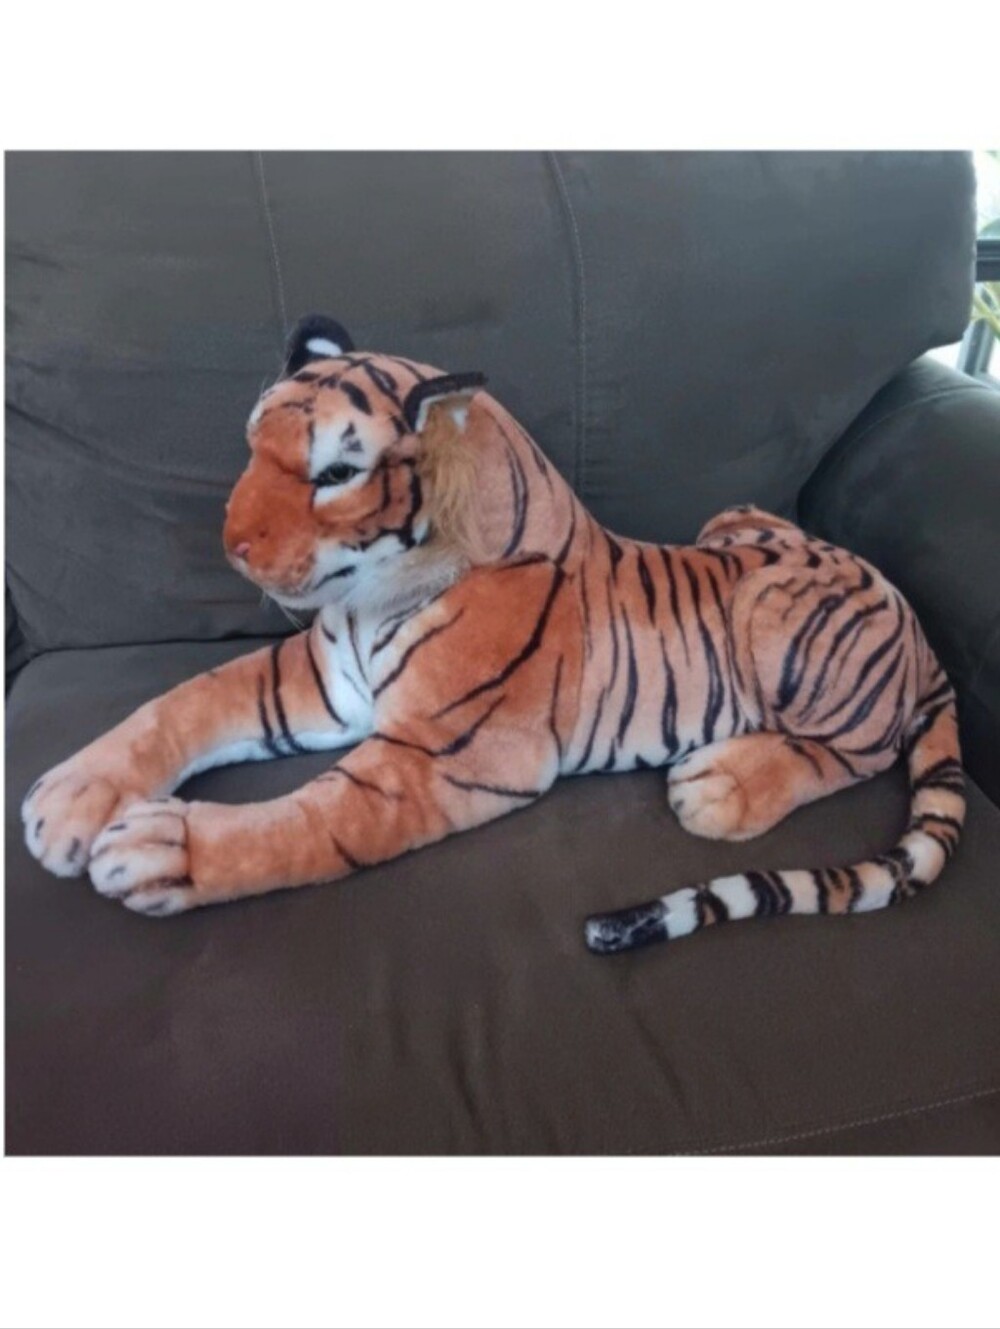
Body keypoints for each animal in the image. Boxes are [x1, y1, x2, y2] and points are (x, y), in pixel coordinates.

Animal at [22, 313, 965, 953]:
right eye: (254, 443)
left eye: (335, 473)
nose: (233, 545)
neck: (369, 597)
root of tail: (918, 626)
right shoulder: (318, 681)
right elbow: (185, 700)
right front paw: (68, 797)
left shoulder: (440, 759)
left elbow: (306, 825)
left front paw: (157, 849)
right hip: (733, 519)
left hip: (773, 617)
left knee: (854, 752)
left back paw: (720, 783)